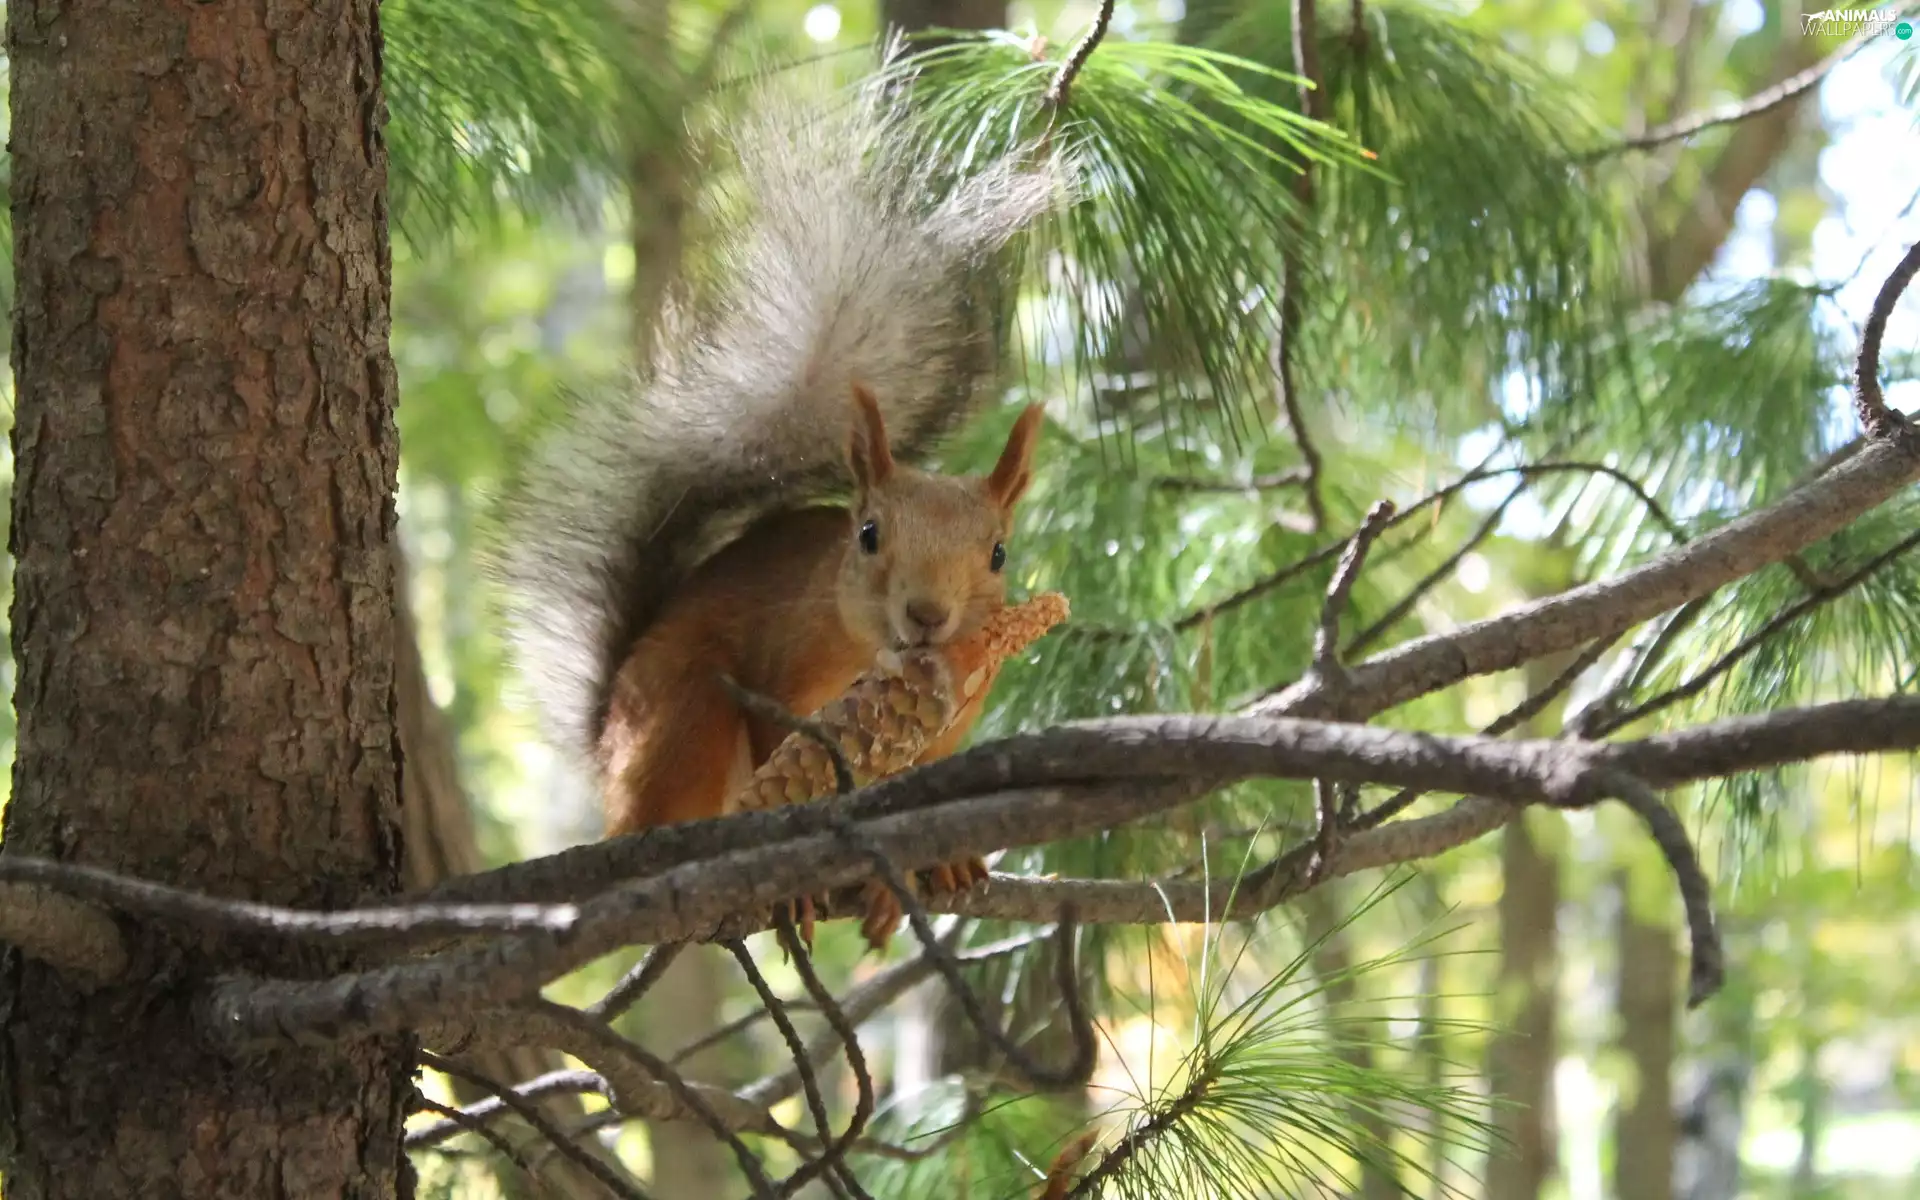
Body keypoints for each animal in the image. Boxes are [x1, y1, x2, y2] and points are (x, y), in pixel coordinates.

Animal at [495, 78, 1059, 862]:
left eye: (1000, 553)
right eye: (868, 535)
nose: (926, 615)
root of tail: (605, 743)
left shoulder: (952, 722)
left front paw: (943, 871)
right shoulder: (783, 662)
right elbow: (777, 736)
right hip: (680, 712)